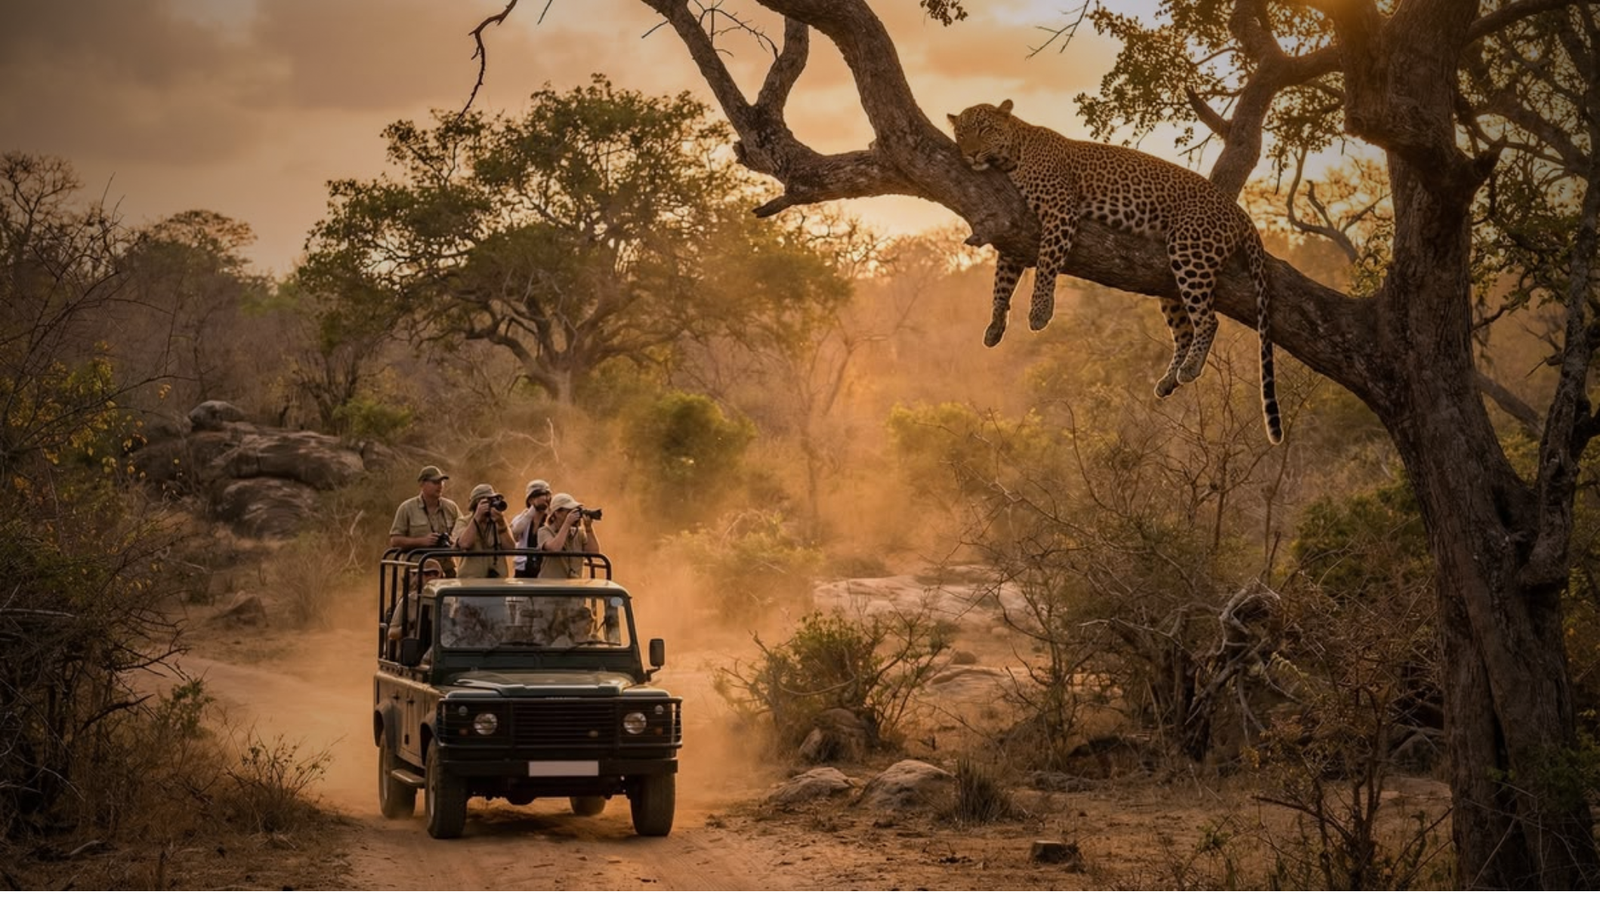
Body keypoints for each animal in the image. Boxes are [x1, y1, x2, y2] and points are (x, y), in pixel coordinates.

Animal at [947, 99, 1282, 444]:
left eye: (985, 129)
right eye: (961, 133)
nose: (971, 154)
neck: (1014, 154)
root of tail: (1239, 211)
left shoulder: (1059, 212)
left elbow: (1046, 265)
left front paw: (1040, 312)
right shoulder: (1013, 231)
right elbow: (1000, 283)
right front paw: (995, 326)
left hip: (1190, 252)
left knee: (1208, 320)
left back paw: (1189, 369)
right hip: (1170, 282)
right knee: (1186, 330)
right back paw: (1169, 380)